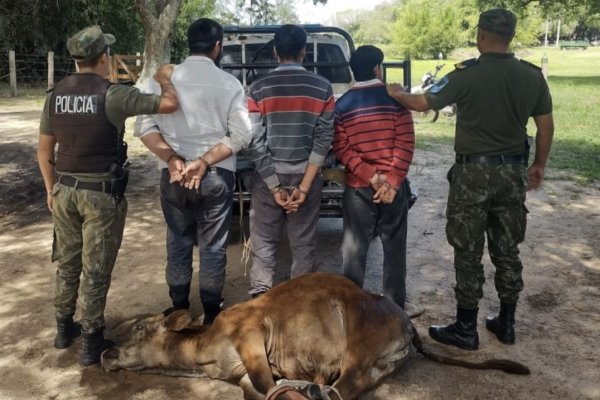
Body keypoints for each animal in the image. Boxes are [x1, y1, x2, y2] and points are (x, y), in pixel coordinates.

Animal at [101, 274, 528, 398]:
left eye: (139, 329)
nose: (106, 352)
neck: (205, 351)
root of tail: (406, 320)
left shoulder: (251, 333)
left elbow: (265, 383)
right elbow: (259, 388)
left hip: (360, 347)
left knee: (346, 386)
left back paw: (317, 388)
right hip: (382, 364)